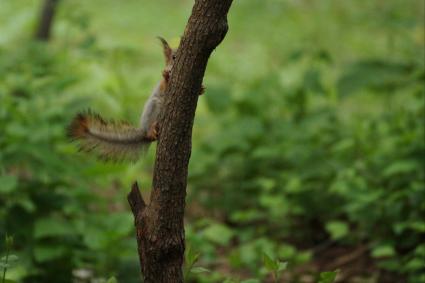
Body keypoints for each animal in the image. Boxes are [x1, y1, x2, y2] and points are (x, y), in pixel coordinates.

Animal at [68, 37, 204, 162]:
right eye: (173, 57)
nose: (171, 68)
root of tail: (144, 134)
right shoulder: (161, 86)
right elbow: (164, 84)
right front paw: (166, 75)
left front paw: (201, 89)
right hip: (153, 107)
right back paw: (152, 129)